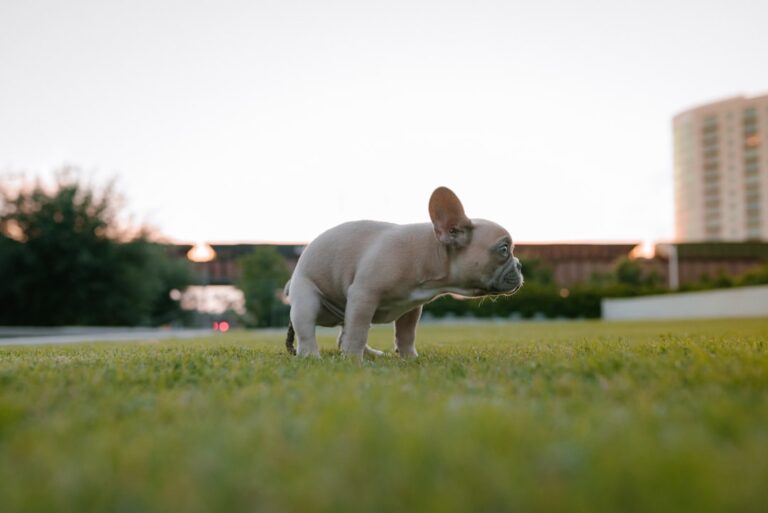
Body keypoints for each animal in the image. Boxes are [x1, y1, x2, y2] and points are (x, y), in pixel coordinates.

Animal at [284, 186, 524, 358]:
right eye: (504, 249)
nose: (520, 265)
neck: (431, 253)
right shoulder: (364, 296)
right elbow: (358, 332)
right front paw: (353, 360)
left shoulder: (411, 307)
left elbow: (406, 334)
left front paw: (410, 358)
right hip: (307, 299)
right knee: (308, 331)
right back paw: (312, 356)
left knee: (345, 331)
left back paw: (371, 354)